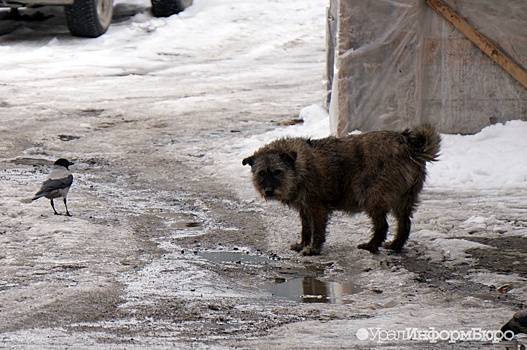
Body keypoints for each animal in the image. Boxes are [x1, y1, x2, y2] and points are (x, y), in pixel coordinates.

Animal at [243, 125, 442, 254]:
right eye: (261, 173)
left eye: (277, 171)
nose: (268, 191)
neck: (299, 167)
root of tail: (409, 146)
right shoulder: (304, 207)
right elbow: (306, 228)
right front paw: (302, 244)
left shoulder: (317, 207)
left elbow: (317, 229)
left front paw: (313, 249)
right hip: (403, 199)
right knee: (405, 223)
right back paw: (395, 245)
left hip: (371, 196)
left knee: (382, 225)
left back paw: (372, 245)